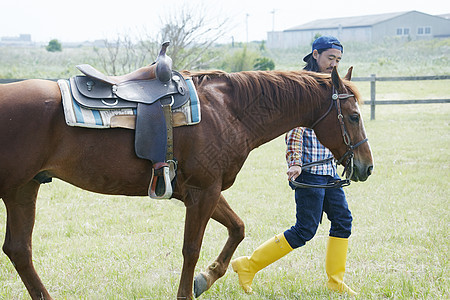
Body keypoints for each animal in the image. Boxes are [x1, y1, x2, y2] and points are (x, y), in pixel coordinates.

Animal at [0, 67, 372, 298]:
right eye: (354, 116)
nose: (366, 167)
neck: (228, 111)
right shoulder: (202, 194)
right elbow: (191, 248)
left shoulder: (205, 191)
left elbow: (237, 228)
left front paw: (206, 279)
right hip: (17, 189)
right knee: (19, 250)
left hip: (24, 190)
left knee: (18, 250)